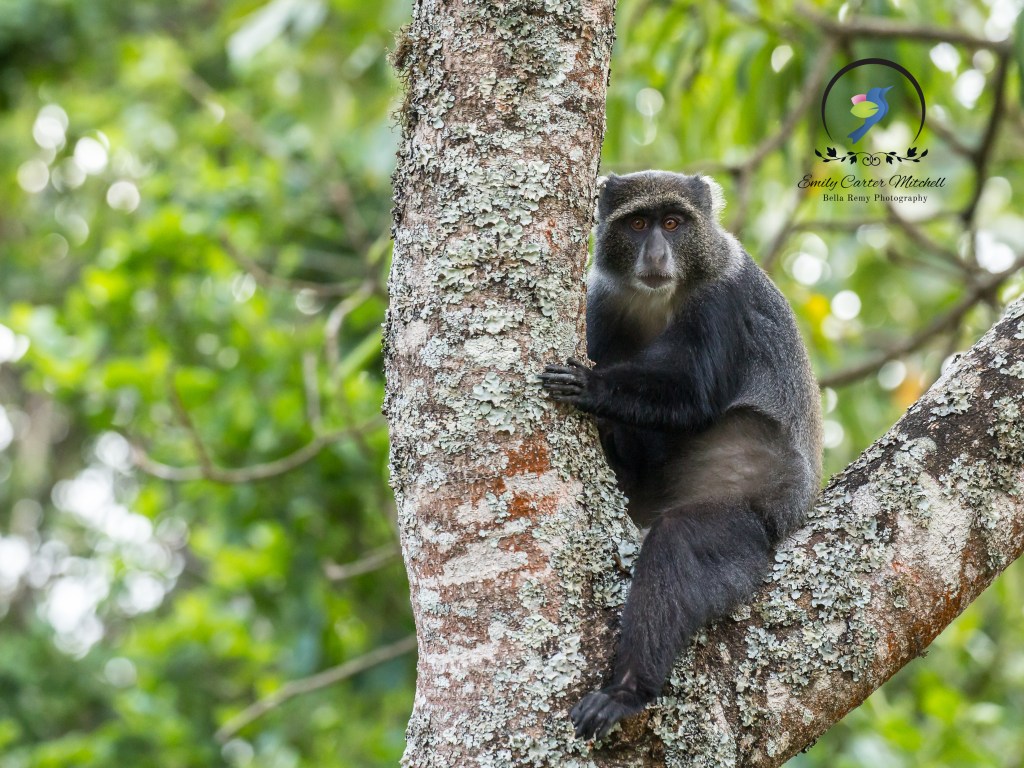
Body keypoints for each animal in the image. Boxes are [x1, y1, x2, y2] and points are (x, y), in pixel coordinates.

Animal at [539, 171, 822, 742]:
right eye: (637, 224)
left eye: (673, 223)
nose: (655, 253)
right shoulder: (602, 305)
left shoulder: (723, 300)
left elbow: (692, 391)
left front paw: (592, 388)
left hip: (752, 514)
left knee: (679, 544)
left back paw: (627, 692)